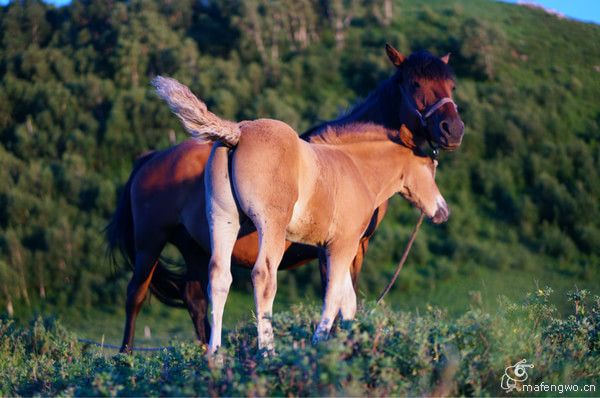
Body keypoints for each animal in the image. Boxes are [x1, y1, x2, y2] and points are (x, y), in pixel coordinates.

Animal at [108, 45, 464, 352]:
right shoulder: (342, 245)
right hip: (156, 241)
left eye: (451, 84)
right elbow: (335, 295)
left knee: (206, 288)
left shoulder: (344, 246)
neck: (352, 164)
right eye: (415, 83)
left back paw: (212, 353)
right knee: (138, 293)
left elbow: (346, 298)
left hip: (205, 237)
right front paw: (332, 345)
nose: (453, 129)